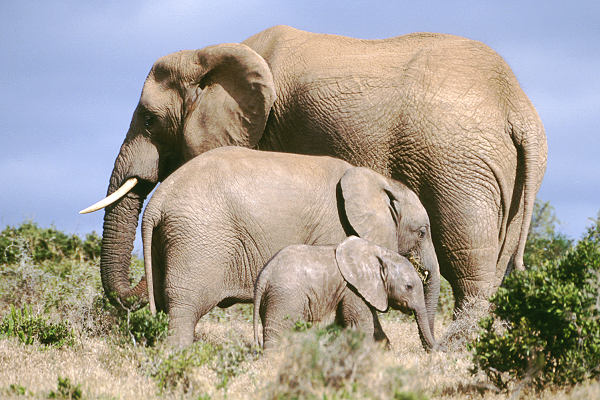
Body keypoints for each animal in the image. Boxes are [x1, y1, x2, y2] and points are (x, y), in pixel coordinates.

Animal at [82, 25, 548, 314]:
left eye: (148, 120)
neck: (210, 54)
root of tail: (520, 109)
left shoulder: (268, 130)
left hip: (459, 164)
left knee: (468, 269)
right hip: (505, 178)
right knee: (494, 268)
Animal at [253, 236, 436, 352]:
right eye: (409, 287)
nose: (436, 349)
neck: (379, 254)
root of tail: (264, 274)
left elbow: (373, 325)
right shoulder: (352, 289)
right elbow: (363, 325)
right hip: (285, 297)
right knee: (278, 331)